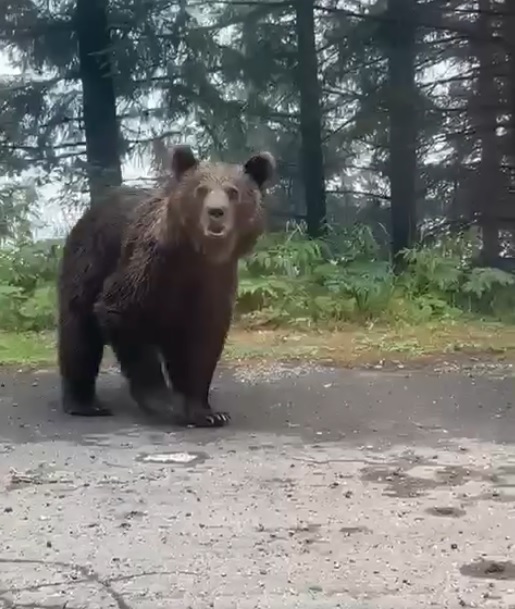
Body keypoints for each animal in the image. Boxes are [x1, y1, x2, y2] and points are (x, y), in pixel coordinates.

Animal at [58, 144, 276, 426]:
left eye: (233, 191)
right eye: (201, 189)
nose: (216, 212)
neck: (194, 256)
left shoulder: (214, 282)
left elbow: (202, 343)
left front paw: (207, 412)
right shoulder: (147, 269)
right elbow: (121, 314)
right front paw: (164, 401)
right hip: (87, 263)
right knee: (79, 335)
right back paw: (84, 403)